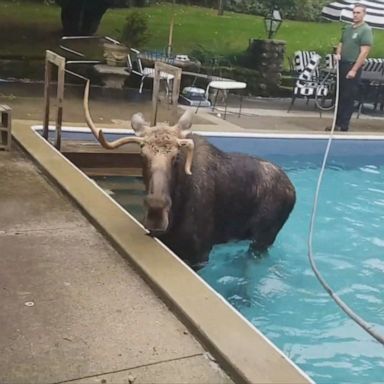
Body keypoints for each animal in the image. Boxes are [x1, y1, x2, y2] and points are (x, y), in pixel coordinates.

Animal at [82, 80, 296, 268]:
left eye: (176, 157)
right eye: (142, 155)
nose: (156, 209)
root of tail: (292, 191)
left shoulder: (200, 253)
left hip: (264, 238)